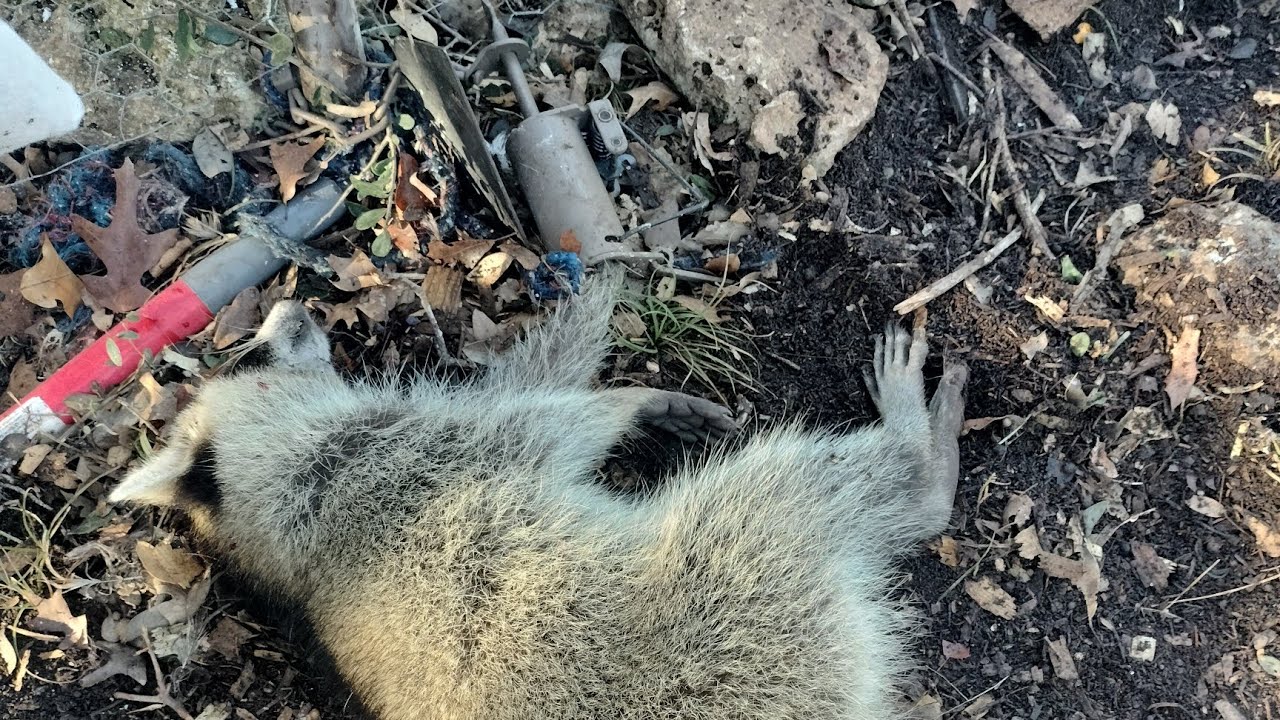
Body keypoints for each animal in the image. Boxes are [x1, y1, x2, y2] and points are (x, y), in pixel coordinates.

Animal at [109, 272, 968, 720]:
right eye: (255, 355)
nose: (290, 305)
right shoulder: (415, 451)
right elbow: (553, 419)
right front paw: (623, 401)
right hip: (741, 610)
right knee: (791, 495)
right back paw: (918, 459)